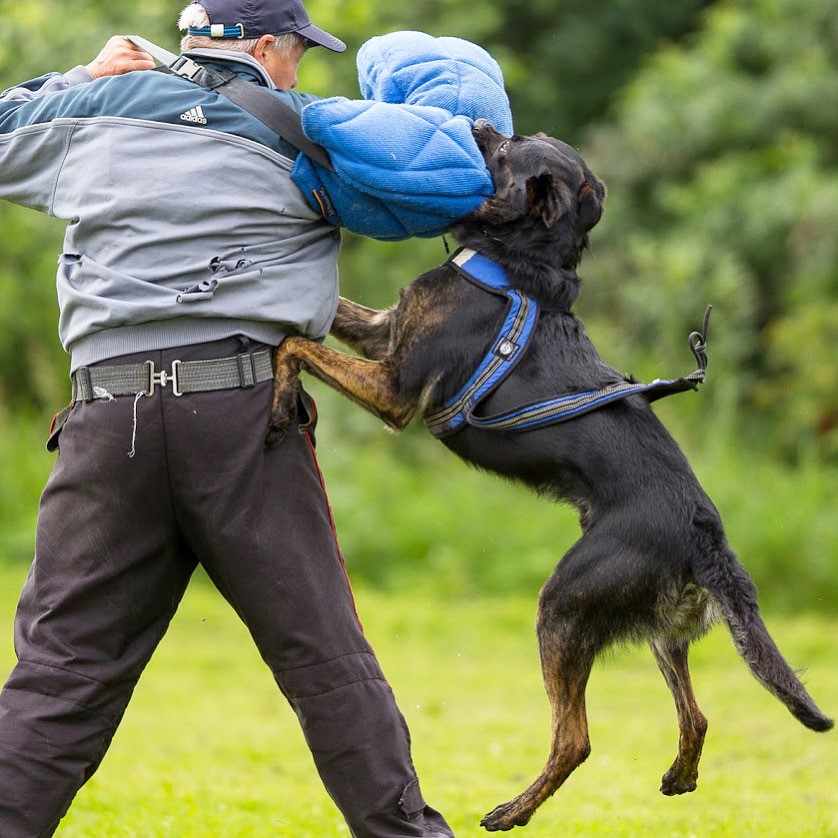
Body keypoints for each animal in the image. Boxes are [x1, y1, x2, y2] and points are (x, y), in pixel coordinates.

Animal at [270, 120, 832, 832]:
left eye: (508, 150)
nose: (482, 125)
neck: (518, 260)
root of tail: (706, 533)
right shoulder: (380, 333)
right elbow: (324, 321)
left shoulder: (395, 390)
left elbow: (295, 344)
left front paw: (279, 393)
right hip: (660, 630)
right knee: (698, 715)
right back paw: (678, 777)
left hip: (564, 604)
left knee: (576, 738)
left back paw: (511, 810)